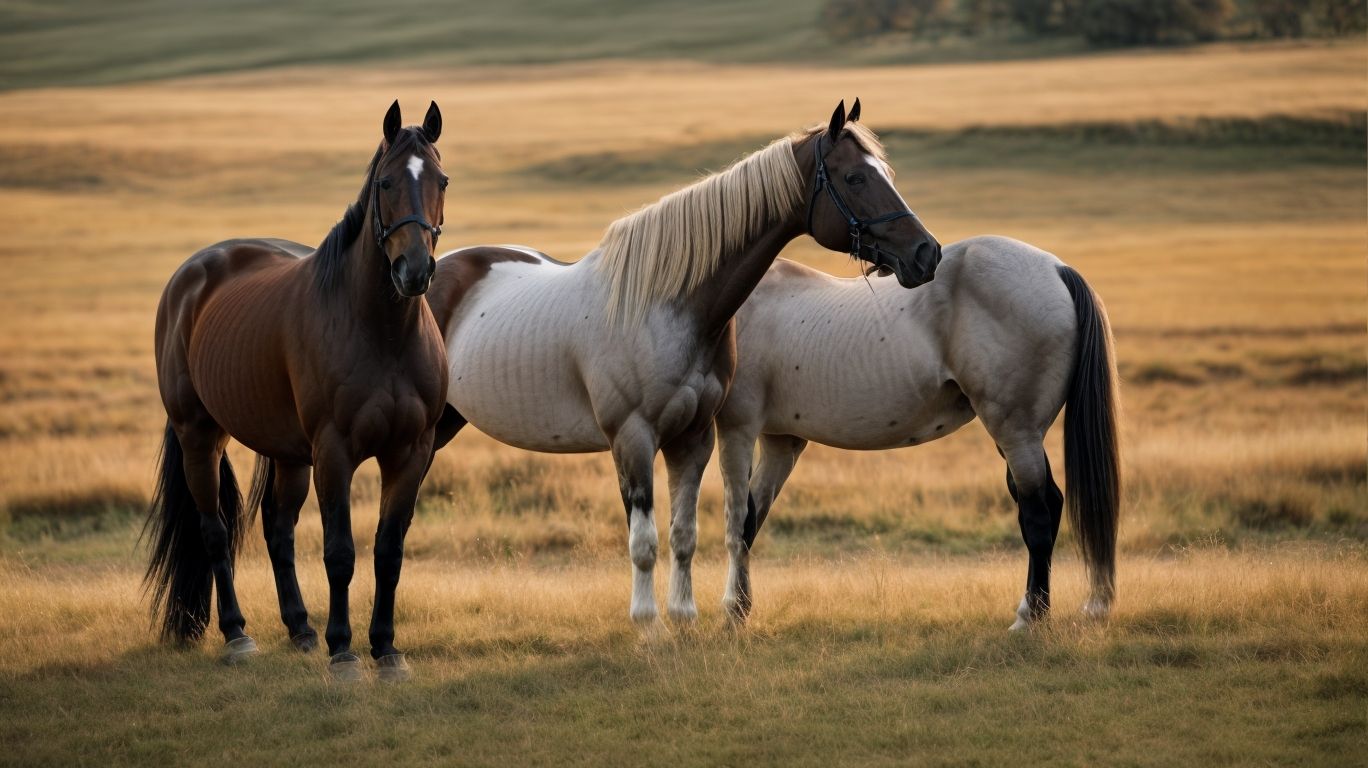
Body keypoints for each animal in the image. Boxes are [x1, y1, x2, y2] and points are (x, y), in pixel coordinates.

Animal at [144, 101, 449, 679]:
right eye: (385, 182)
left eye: (441, 180)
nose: (414, 271)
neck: (382, 332)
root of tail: (189, 277)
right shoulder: (334, 453)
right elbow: (340, 553)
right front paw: (344, 650)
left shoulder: (410, 453)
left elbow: (388, 552)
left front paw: (386, 649)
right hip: (200, 436)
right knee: (215, 530)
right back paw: (238, 634)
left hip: (287, 455)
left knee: (277, 530)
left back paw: (301, 628)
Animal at [425, 100, 942, 626]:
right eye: (855, 177)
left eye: (885, 173)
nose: (927, 253)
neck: (668, 306)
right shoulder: (632, 439)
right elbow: (644, 542)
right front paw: (647, 625)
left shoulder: (693, 438)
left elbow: (684, 534)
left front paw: (684, 617)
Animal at [712, 235, 1120, 629]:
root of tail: (1057, 268)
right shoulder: (781, 442)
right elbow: (750, 521)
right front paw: (739, 609)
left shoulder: (738, 429)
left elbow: (737, 521)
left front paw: (731, 612)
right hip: (1021, 437)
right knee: (1047, 503)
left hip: (1016, 433)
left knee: (1038, 514)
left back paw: (1028, 616)